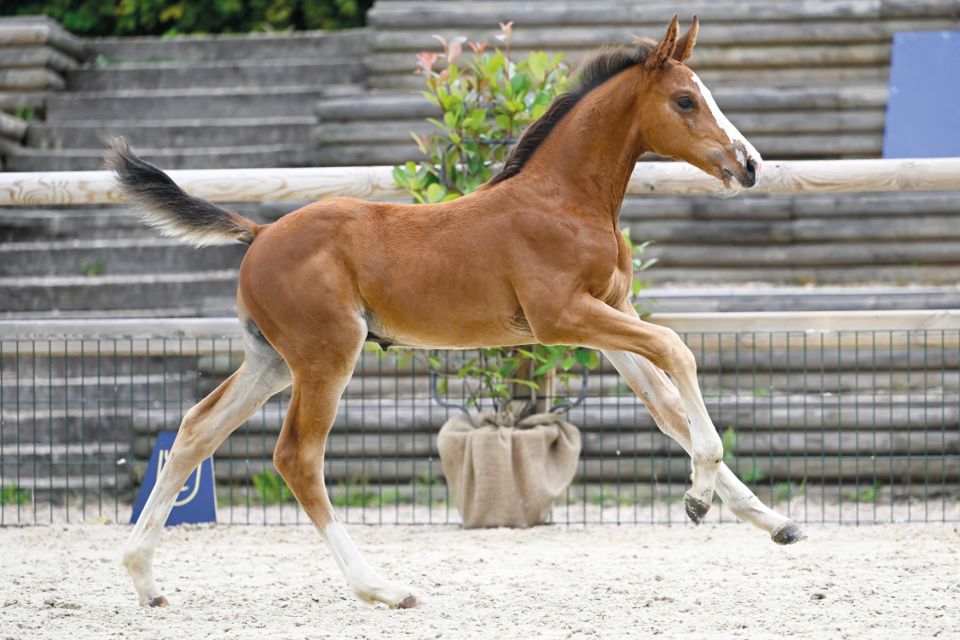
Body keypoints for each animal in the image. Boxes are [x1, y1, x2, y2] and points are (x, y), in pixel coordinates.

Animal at [110, 16, 805, 611]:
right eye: (686, 101)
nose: (748, 164)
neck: (565, 200)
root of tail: (257, 233)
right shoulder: (563, 318)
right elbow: (677, 351)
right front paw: (697, 498)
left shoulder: (607, 316)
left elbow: (666, 407)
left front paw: (771, 521)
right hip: (327, 355)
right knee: (297, 457)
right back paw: (381, 588)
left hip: (272, 361)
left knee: (196, 430)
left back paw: (145, 580)